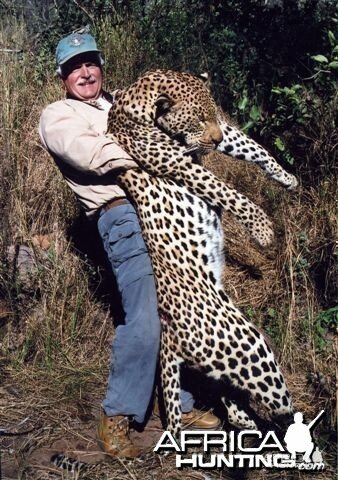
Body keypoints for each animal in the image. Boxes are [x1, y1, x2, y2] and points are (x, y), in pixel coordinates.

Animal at [105, 69, 296, 436]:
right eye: (196, 117)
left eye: (213, 114)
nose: (216, 139)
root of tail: (168, 337)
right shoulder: (181, 164)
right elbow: (226, 191)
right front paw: (262, 229)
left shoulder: (214, 138)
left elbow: (252, 147)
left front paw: (286, 177)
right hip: (248, 345)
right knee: (286, 411)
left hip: (223, 357)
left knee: (231, 397)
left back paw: (244, 423)